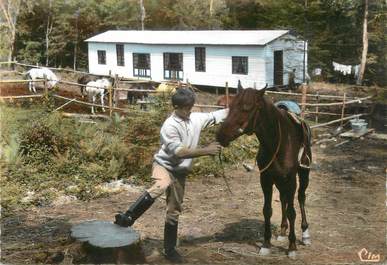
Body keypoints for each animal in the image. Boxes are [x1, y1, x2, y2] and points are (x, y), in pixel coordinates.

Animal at [217, 85, 314, 256]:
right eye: (231, 105)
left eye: (247, 107)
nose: (220, 135)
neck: (277, 142)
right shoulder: (266, 179)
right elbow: (267, 210)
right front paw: (266, 244)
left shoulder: (291, 179)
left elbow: (292, 211)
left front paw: (292, 247)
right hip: (280, 180)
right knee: (283, 199)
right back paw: (282, 231)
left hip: (303, 174)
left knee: (301, 198)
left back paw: (305, 234)